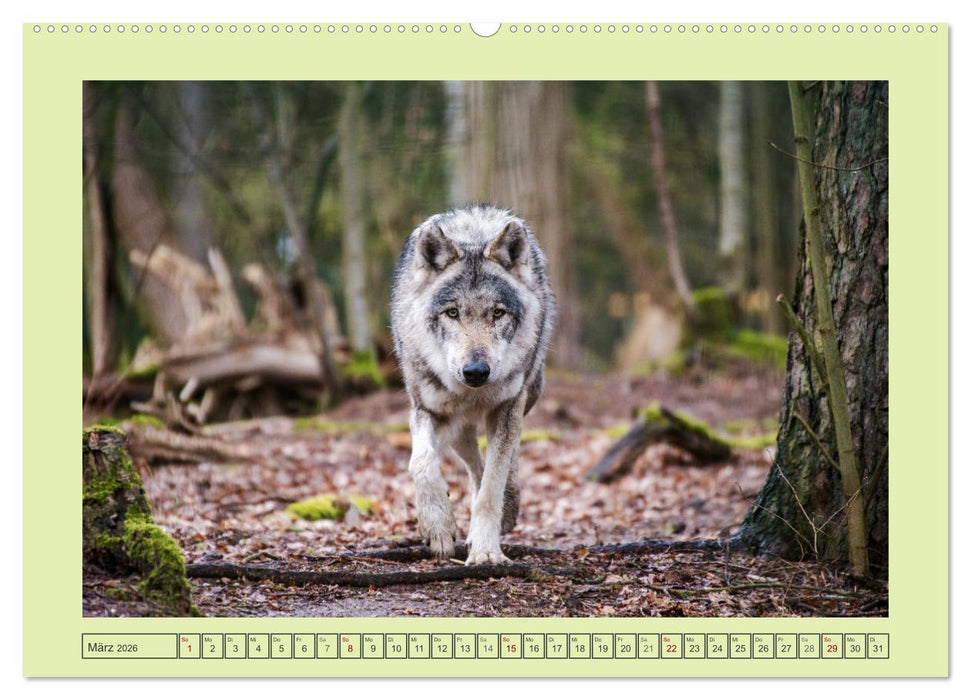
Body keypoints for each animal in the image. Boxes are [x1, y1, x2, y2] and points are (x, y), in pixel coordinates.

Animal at [391, 205, 555, 565]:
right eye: (452, 312)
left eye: (498, 313)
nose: (476, 371)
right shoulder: (427, 410)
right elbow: (420, 463)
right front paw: (437, 526)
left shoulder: (508, 407)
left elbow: (491, 488)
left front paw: (486, 552)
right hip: (455, 423)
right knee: (471, 456)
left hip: (528, 394)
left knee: (507, 457)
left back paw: (508, 503)